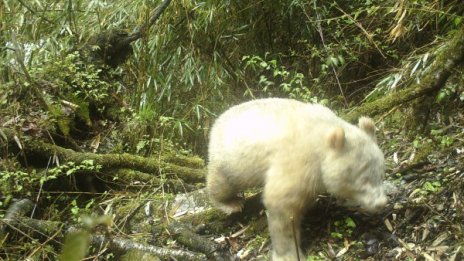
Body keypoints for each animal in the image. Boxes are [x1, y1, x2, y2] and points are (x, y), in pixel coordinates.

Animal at [208, 98, 388, 260]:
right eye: (364, 179)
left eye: (381, 174)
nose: (381, 203)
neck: (322, 136)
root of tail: (217, 122)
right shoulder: (299, 160)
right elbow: (281, 205)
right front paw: (288, 254)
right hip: (229, 159)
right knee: (222, 183)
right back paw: (231, 203)